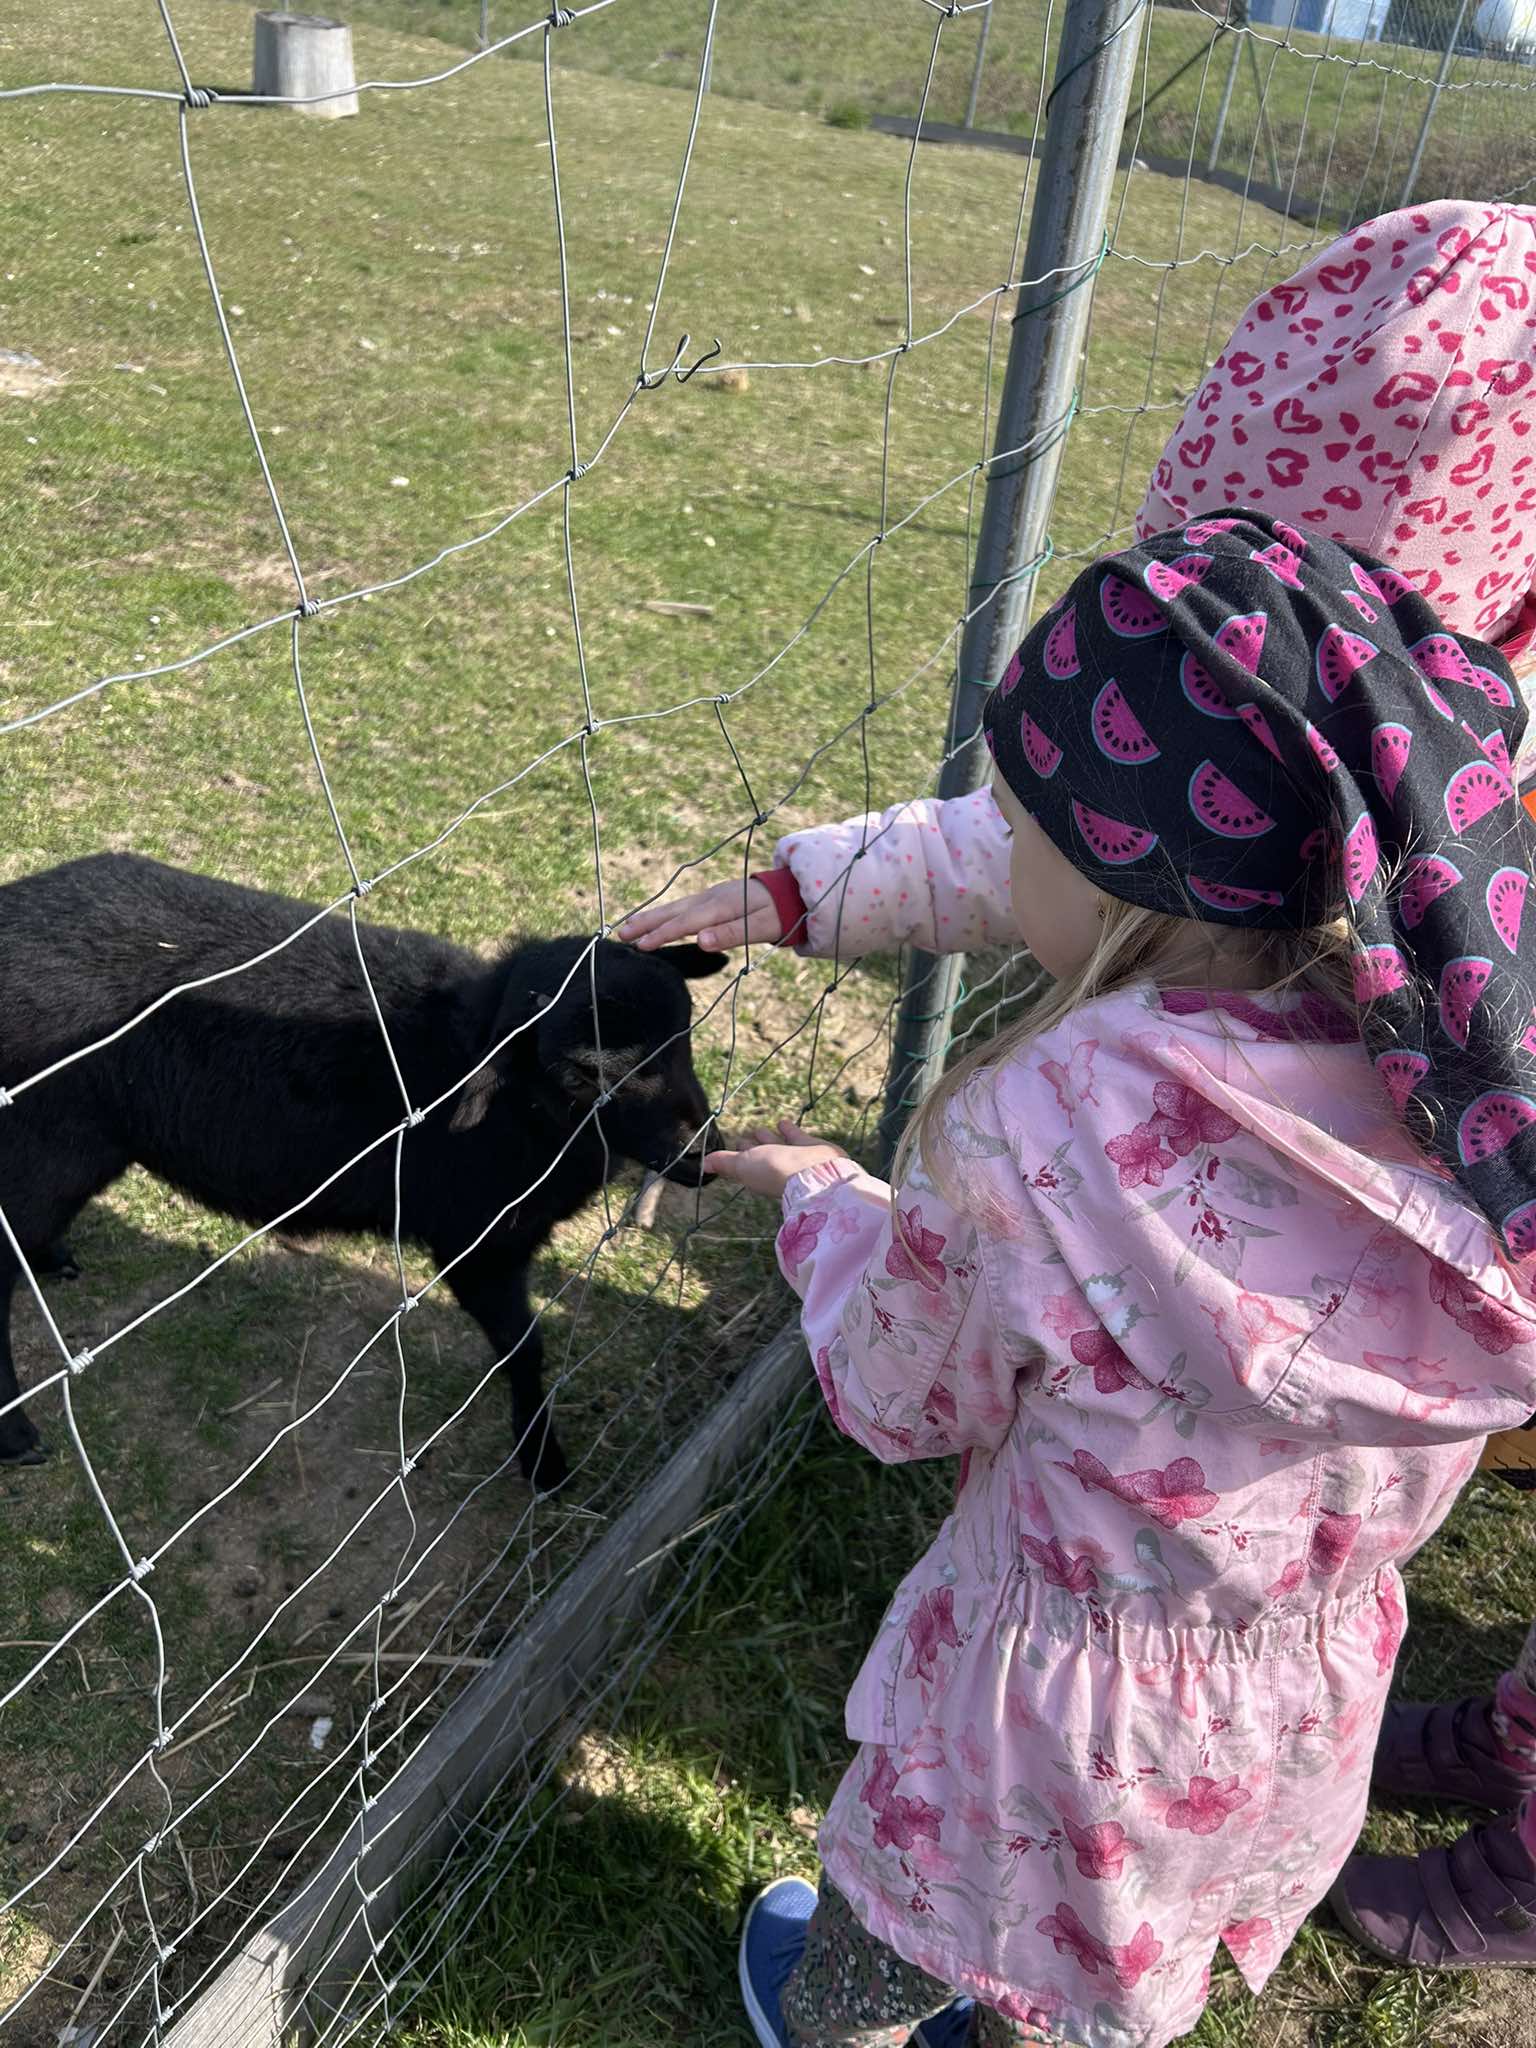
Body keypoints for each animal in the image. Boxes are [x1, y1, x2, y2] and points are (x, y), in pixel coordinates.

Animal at [0, 854, 725, 1492]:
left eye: (685, 1026)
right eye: (581, 1076)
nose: (703, 1152)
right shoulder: (476, 1242)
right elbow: (525, 1350)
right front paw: (543, 1462)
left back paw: (52, 1260)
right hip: (48, 1142)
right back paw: (18, 1434)